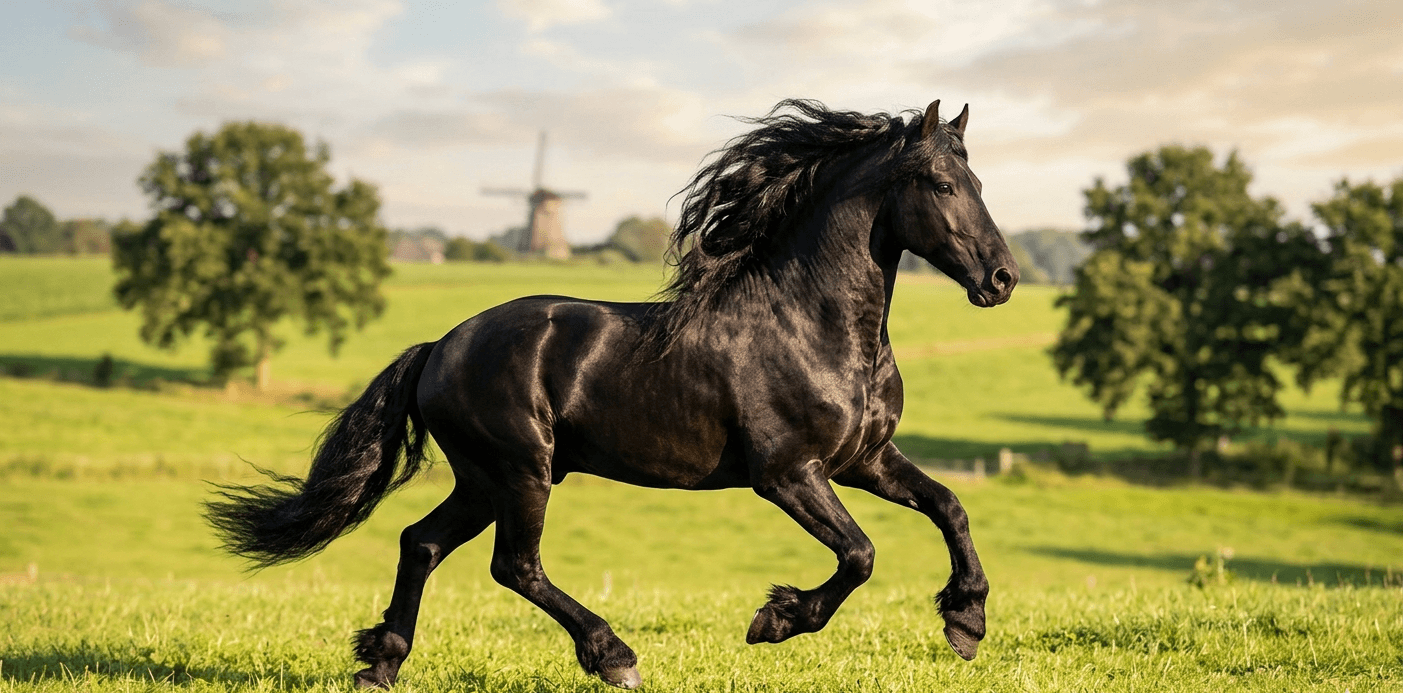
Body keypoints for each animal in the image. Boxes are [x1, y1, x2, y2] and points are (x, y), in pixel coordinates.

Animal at [206, 98, 1018, 689]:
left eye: (980, 184)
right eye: (941, 185)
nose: (1002, 279)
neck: (810, 325)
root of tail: (439, 347)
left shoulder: (864, 459)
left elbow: (949, 505)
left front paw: (966, 623)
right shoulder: (788, 473)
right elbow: (860, 554)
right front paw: (776, 620)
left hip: (483, 477)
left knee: (422, 541)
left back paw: (381, 663)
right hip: (521, 469)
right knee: (514, 566)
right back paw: (614, 656)